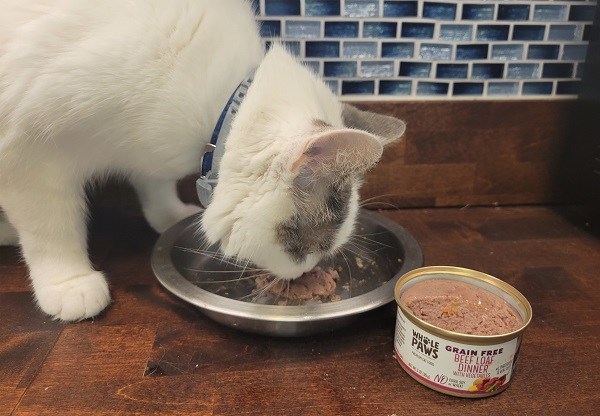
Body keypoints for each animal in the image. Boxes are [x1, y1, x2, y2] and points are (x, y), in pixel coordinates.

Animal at [0, 0, 406, 322]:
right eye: (307, 249)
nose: (305, 273)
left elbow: (154, 183)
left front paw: (167, 217)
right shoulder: (28, 153)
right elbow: (51, 229)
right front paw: (68, 283)